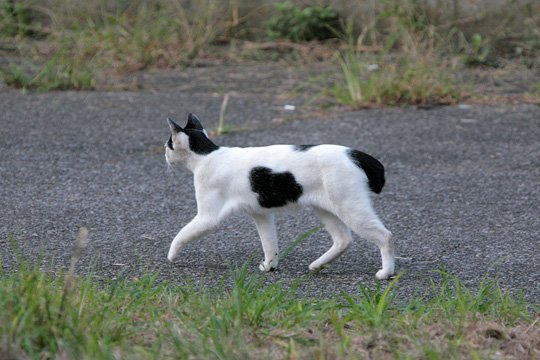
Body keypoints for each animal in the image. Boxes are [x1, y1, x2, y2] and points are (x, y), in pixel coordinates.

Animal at [162, 114, 394, 280]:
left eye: (168, 144)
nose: (164, 154)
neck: (206, 155)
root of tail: (354, 153)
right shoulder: (261, 214)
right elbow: (269, 244)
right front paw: (269, 266)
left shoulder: (207, 217)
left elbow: (181, 234)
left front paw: (171, 255)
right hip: (326, 209)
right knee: (343, 239)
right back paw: (317, 265)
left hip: (350, 208)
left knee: (385, 236)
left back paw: (386, 273)